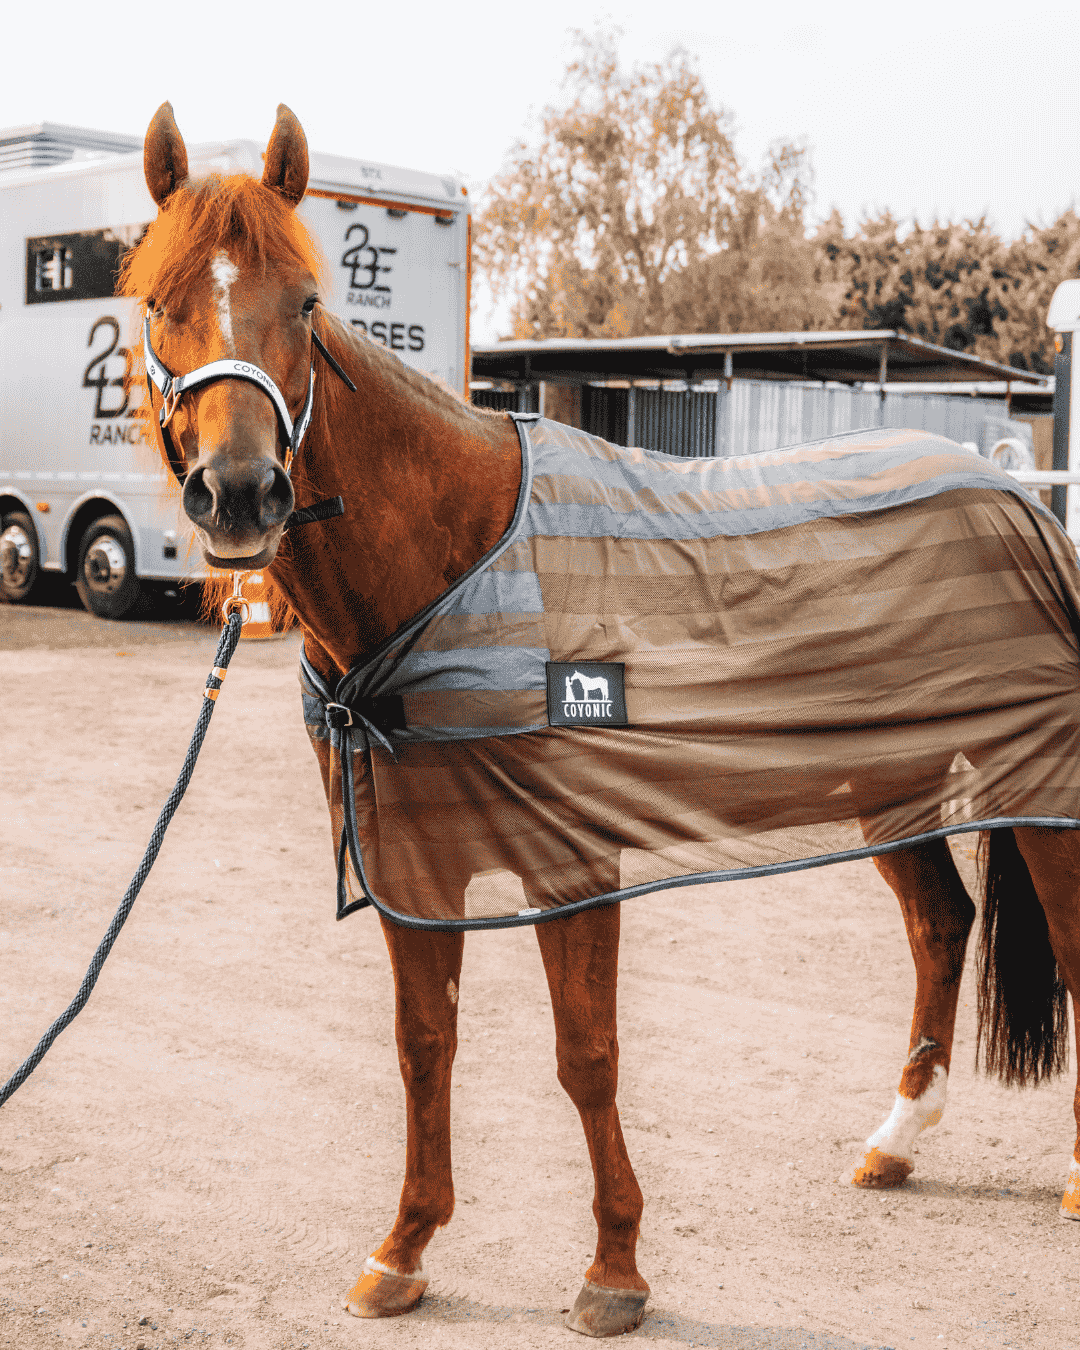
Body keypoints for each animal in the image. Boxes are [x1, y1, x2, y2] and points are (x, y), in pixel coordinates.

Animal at [122, 101, 1080, 1337]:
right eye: (157, 299)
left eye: (305, 301)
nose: (240, 496)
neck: (455, 563)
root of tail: (1015, 494)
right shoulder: (414, 863)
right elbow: (423, 1046)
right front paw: (404, 1248)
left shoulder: (570, 861)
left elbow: (587, 1054)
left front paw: (614, 1269)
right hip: (887, 786)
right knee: (940, 926)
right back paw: (896, 1140)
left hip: (1043, 798)